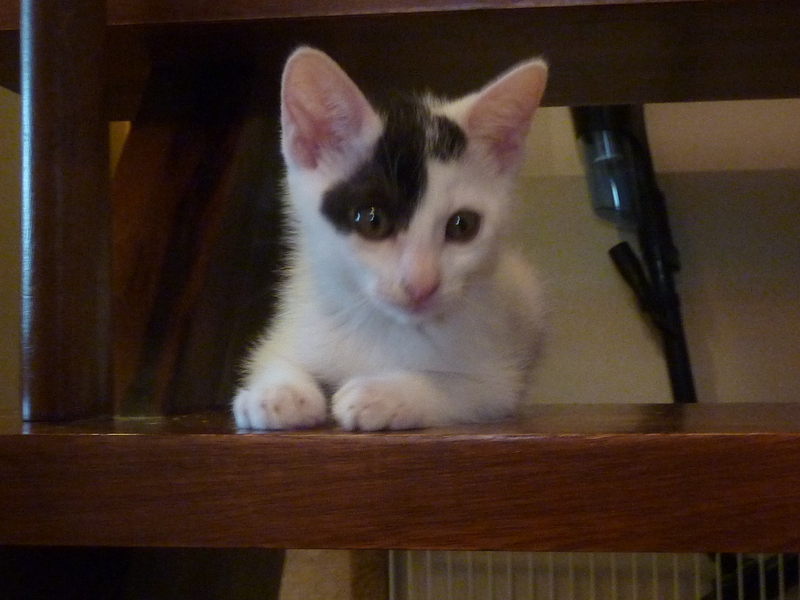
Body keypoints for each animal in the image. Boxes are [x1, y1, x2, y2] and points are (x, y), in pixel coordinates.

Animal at [233, 47, 548, 431]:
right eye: (372, 220)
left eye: (462, 226)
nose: (421, 285)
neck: (377, 323)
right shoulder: (289, 329)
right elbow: (273, 357)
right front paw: (278, 393)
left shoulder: (497, 378)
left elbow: (461, 388)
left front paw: (382, 394)